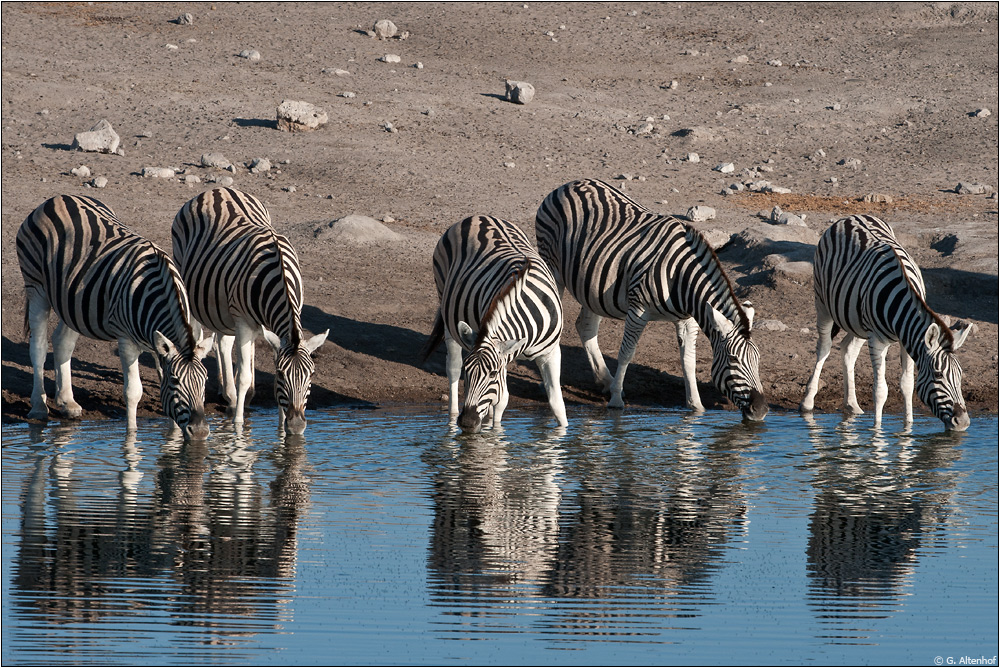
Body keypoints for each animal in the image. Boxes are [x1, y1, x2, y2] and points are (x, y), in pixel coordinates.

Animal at [16, 193, 215, 438]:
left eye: (205, 379)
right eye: (176, 381)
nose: (200, 431)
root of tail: (58, 198)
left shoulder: (159, 345)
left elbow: (163, 388)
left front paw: (173, 438)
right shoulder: (126, 340)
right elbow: (133, 391)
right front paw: (131, 437)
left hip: (72, 301)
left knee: (62, 342)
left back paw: (67, 402)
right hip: (36, 287)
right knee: (39, 347)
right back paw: (38, 407)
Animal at [171, 187, 328, 434]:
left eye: (311, 374)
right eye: (282, 374)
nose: (296, 426)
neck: (279, 276)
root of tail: (217, 189)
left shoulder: (275, 327)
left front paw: (281, 429)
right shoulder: (243, 322)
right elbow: (244, 377)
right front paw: (238, 425)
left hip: (223, 306)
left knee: (223, 341)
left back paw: (229, 392)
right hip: (189, 284)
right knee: (203, 335)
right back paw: (231, 395)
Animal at [418, 215, 568, 434]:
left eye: (493, 373)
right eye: (467, 372)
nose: (467, 422)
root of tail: (478, 216)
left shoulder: (550, 353)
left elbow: (557, 403)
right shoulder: (502, 354)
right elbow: (501, 401)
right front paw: (494, 435)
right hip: (447, 311)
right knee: (452, 368)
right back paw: (452, 419)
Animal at [540, 176, 764, 418]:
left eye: (758, 359)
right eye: (733, 360)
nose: (761, 410)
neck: (682, 278)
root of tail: (568, 184)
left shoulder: (687, 320)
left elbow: (689, 360)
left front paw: (696, 406)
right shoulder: (638, 310)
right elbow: (626, 353)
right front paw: (616, 400)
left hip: (590, 284)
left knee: (586, 326)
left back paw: (605, 381)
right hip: (553, 268)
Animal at [800, 217, 972, 430]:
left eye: (960, 375)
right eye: (938, 375)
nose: (963, 422)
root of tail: (850, 217)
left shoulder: (909, 341)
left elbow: (907, 384)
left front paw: (908, 427)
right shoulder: (877, 341)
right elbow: (881, 391)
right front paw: (877, 431)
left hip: (857, 322)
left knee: (848, 349)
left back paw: (852, 405)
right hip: (822, 303)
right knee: (824, 347)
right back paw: (808, 402)